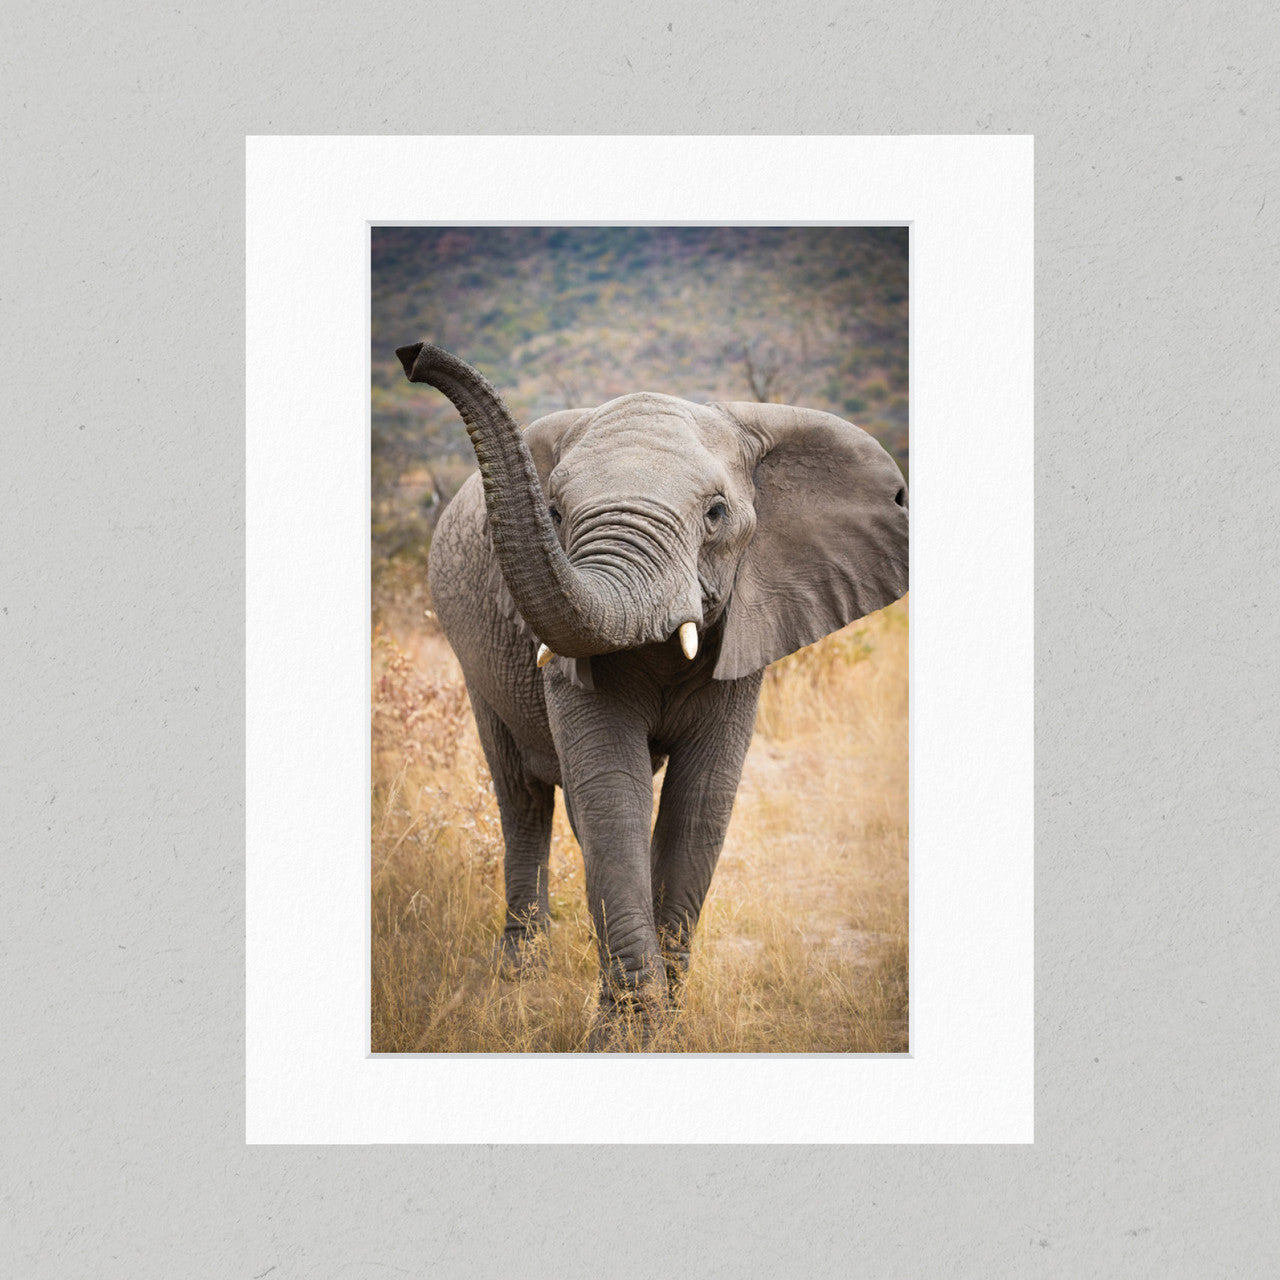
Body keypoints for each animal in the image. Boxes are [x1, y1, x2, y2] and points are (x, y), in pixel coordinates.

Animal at [395, 342, 908, 1039]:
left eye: (716, 514)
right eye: (554, 514)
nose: (413, 354)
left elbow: (701, 801)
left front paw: (666, 1027)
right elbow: (613, 793)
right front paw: (628, 1036)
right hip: (474, 659)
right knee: (522, 797)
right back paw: (520, 973)